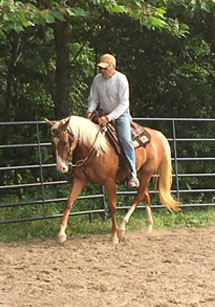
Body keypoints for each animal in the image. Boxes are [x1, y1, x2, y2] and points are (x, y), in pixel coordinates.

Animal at [45, 116, 180, 245]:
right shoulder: (80, 180)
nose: (61, 168)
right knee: (145, 195)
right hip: (139, 175)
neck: (93, 148)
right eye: (53, 143)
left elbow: (112, 207)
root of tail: (157, 135)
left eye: (65, 142)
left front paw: (114, 236)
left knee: (139, 196)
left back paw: (122, 228)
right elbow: (69, 202)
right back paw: (148, 227)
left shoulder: (109, 182)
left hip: (147, 173)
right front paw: (61, 234)